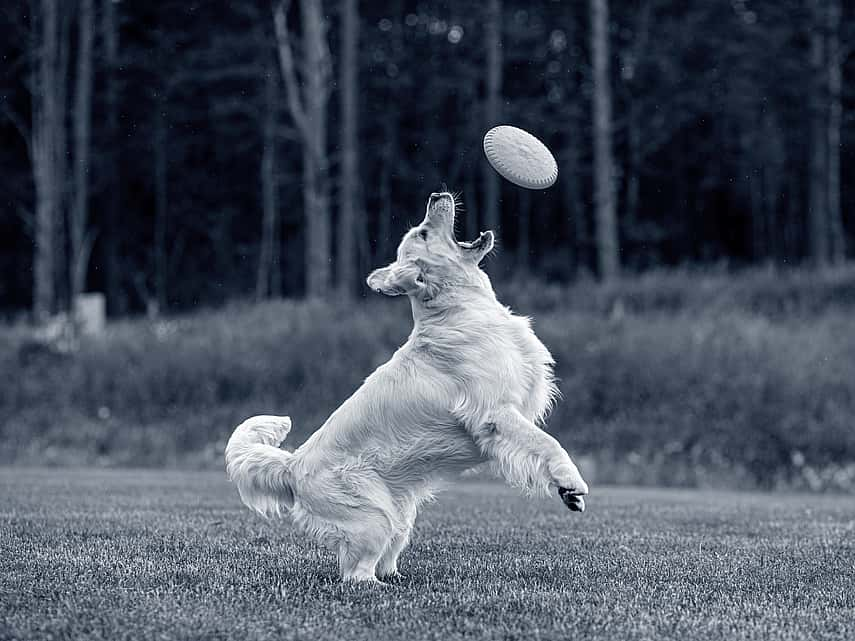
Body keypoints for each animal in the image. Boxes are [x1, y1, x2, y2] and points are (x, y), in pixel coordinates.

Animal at [224, 190, 592, 580]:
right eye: (424, 233)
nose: (436, 195)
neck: (459, 308)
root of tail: (292, 466)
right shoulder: (494, 415)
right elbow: (548, 444)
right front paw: (572, 483)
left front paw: (569, 494)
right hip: (373, 516)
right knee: (355, 573)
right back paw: (378, 586)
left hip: (400, 515)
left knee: (383, 557)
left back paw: (397, 577)